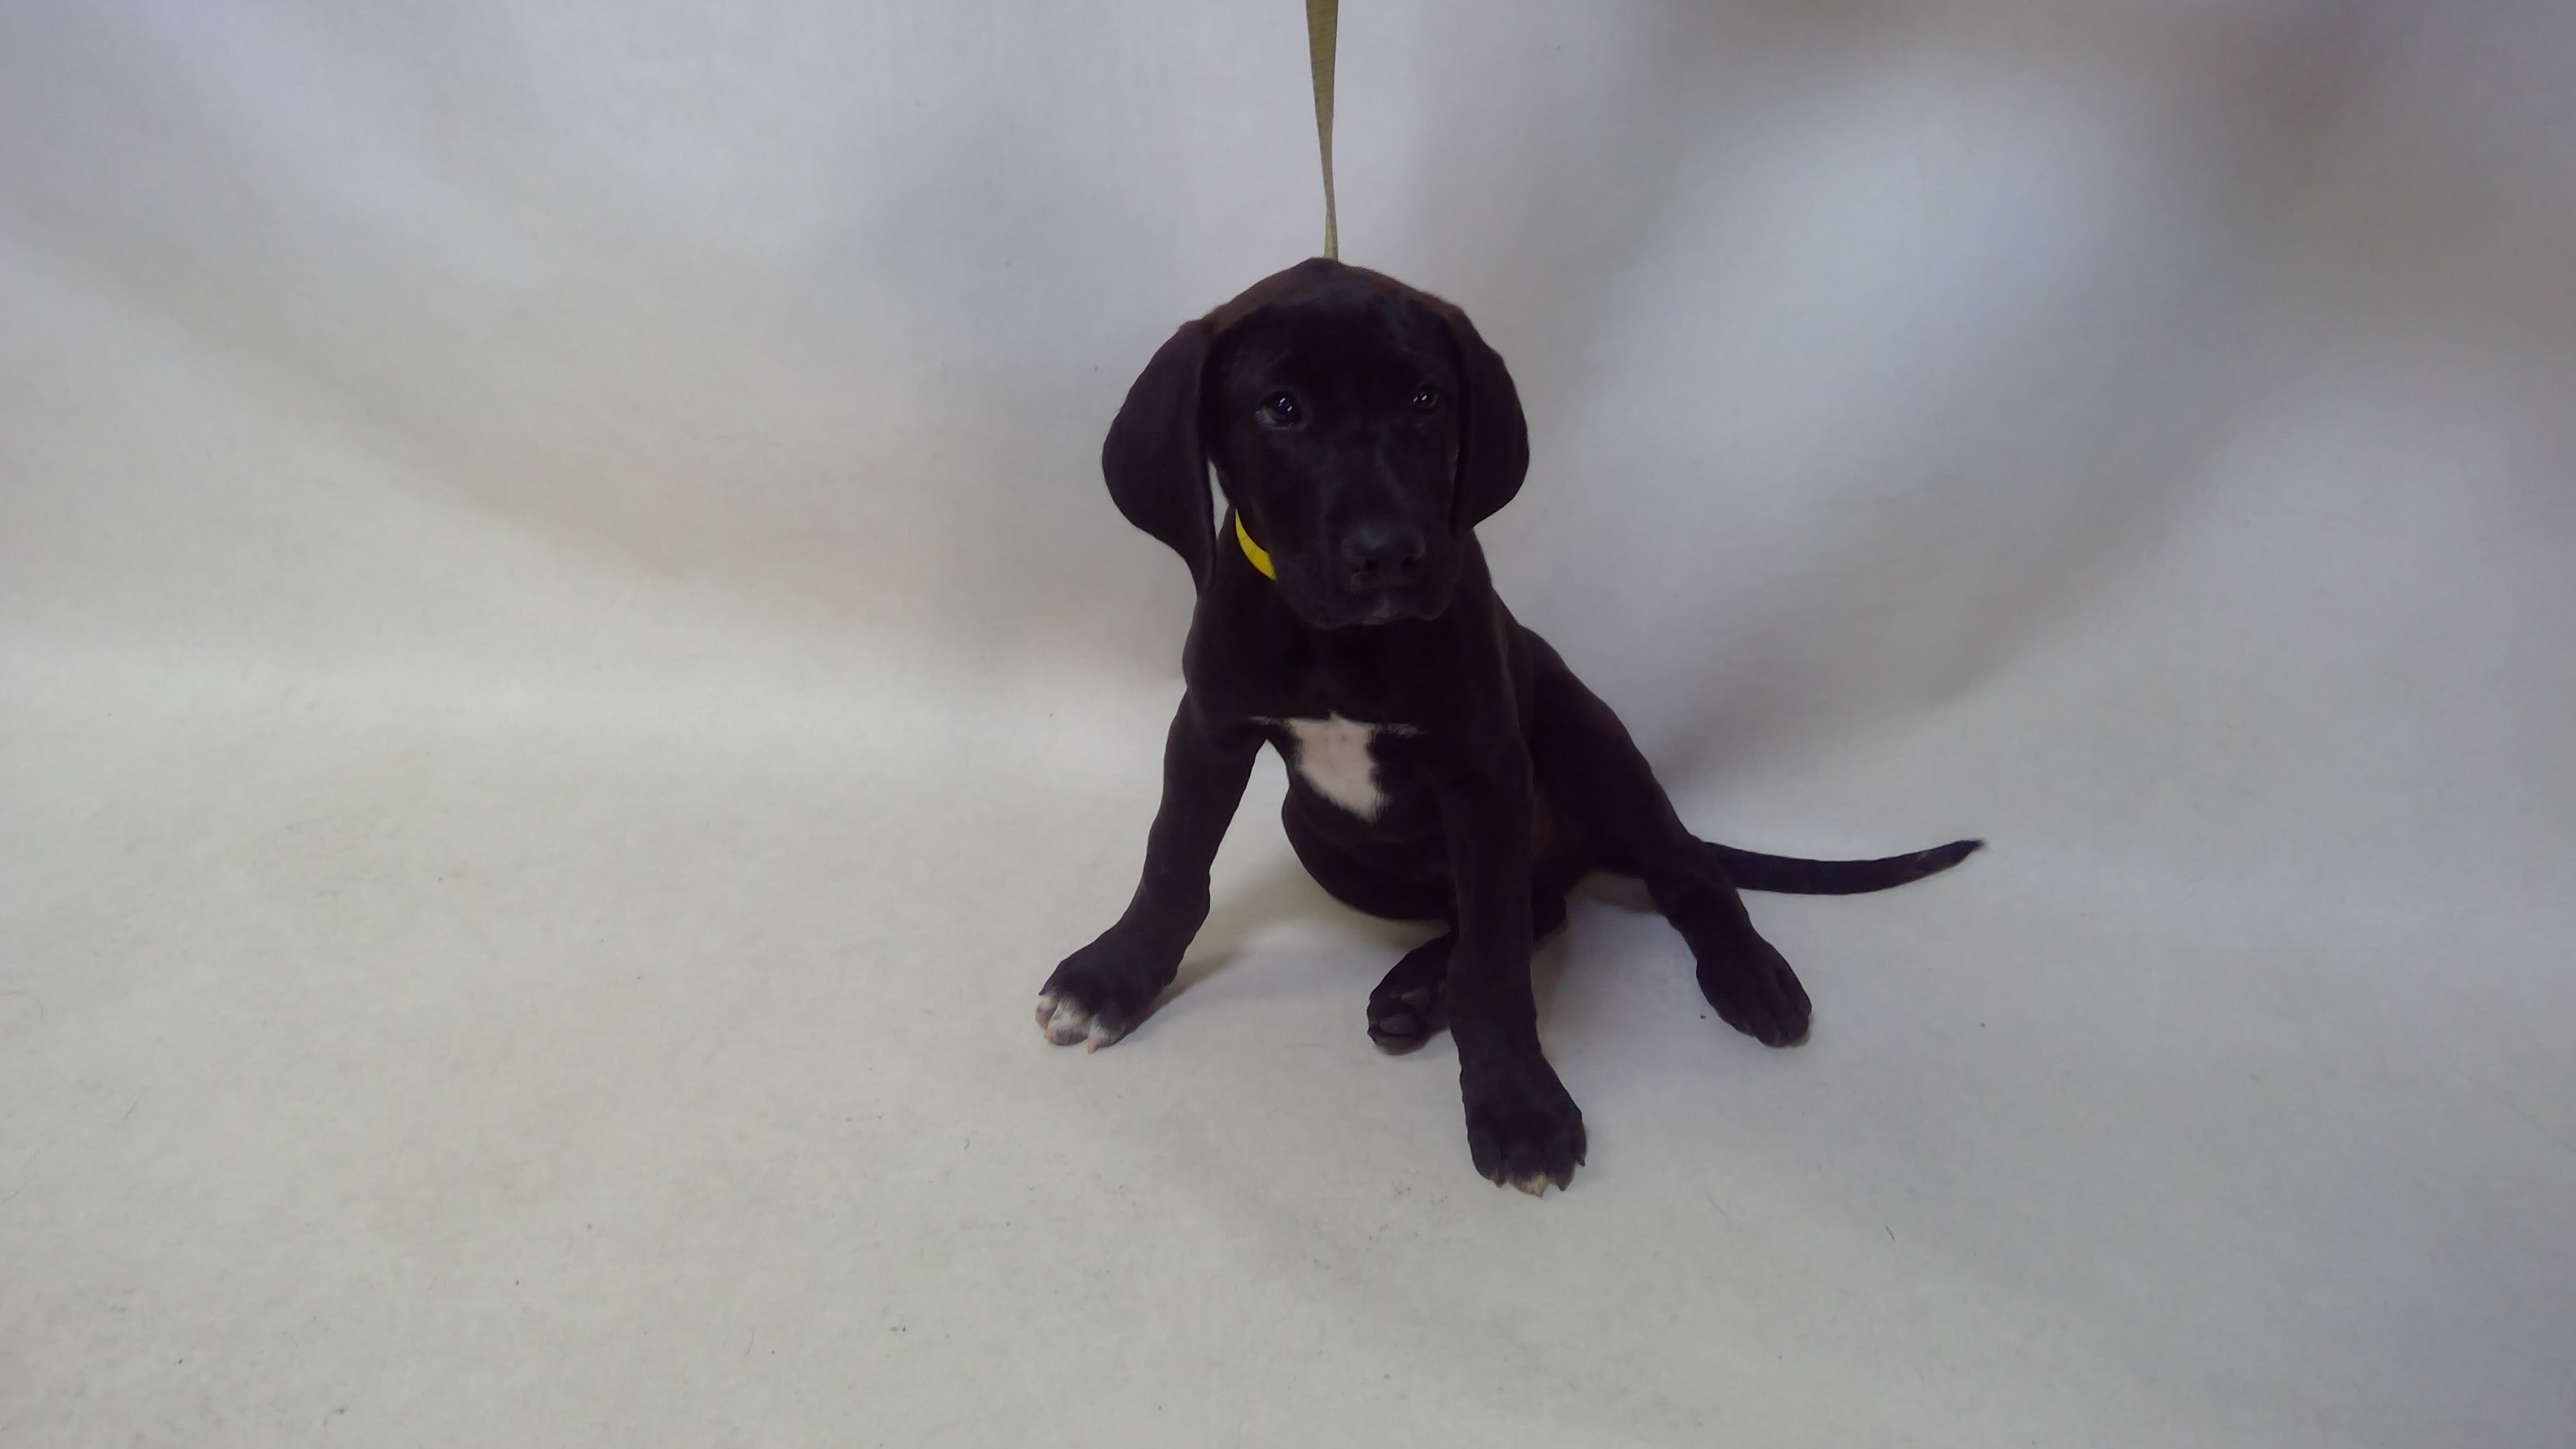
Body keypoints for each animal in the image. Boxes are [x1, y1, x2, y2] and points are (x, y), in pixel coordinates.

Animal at [1037, 258, 1976, 1195]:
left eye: (1427, 399)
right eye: (1281, 408)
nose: (1390, 553)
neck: (1341, 644)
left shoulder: (1483, 772)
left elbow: (1494, 962)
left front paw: (1517, 1104)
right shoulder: (1209, 729)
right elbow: (1172, 860)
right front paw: (1114, 977)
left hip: (1591, 739)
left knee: (1673, 871)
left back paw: (1744, 973)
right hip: (1316, 834)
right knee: (1537, 905)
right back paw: (1418, 989)